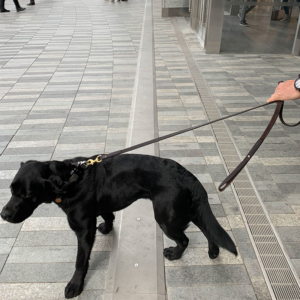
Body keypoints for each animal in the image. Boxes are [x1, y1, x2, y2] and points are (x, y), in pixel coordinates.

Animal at [1, 154, 238, 298]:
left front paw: (75, 285)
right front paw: (107, 228)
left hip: (166, 218)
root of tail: (188, 175)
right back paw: (213, 251)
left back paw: (175, 254)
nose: (3, 214)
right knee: (207, 229)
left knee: (185, 239)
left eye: (27, 195)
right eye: (11, 190)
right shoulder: (100, 208)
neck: (70, 181)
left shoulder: (83, 230)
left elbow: (80, 262)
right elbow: (108, 215)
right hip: (185, 209)